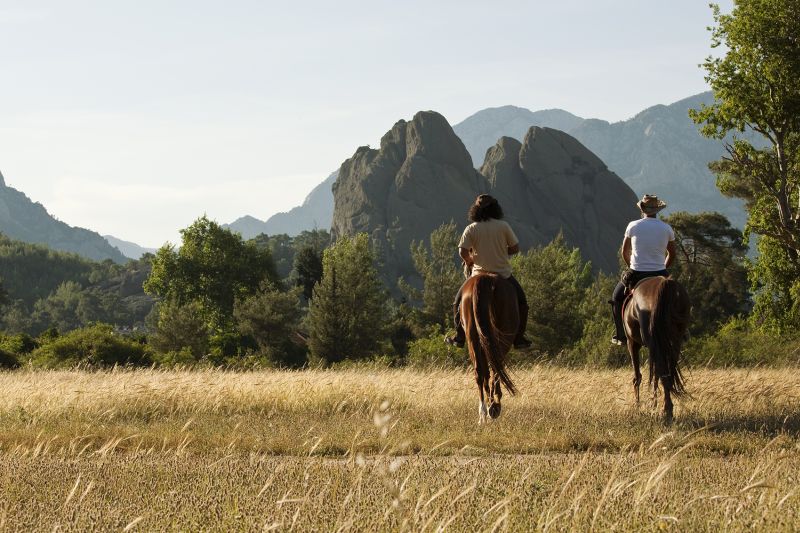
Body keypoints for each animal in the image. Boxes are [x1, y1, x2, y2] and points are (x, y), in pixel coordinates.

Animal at [456, 272, 520, 422]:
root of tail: (483, 279)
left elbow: (485, 371)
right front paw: (494, 402)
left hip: (473, 337)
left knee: (479, 372)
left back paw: (483, 413)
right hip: (502, 336)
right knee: (497, 367)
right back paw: (494, 407)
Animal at [620, 276, 692, 422]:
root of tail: (665, 284)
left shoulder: (632, 343)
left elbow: (638, 376)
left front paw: (638, 406)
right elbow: (656, 374)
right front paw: (653, 403)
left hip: (651, 342)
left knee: (660, 370)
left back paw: (666, 410)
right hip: (674, 341)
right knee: (667, 371)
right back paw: (667, 408)